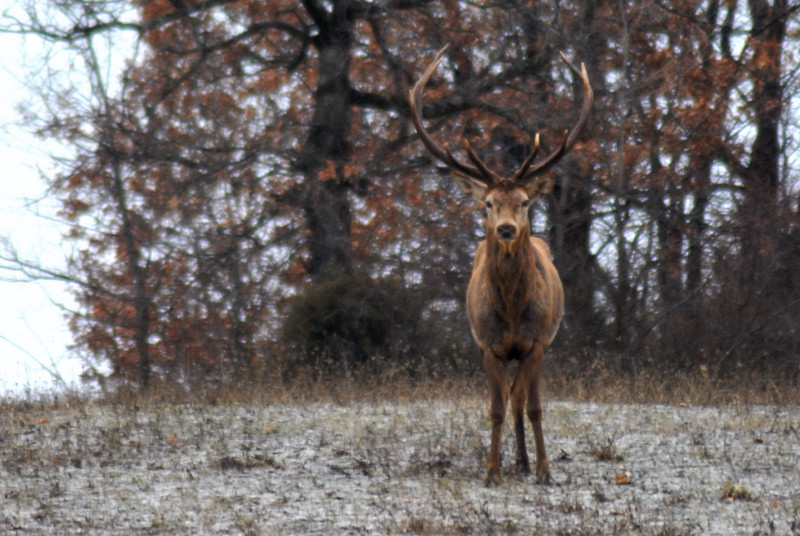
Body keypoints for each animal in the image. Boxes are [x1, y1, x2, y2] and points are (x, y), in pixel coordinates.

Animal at [410, 47, 592, 486]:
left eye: (524, 201)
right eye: (488, 203)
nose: (506, 228)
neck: (510, 310)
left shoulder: (537, 342)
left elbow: (534, 407)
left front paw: (544, 471)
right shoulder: (488, 345)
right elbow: (494, 408)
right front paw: (491, 471)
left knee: (520, 400)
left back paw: (525, 462)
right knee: (510, 400)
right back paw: (516, 462)